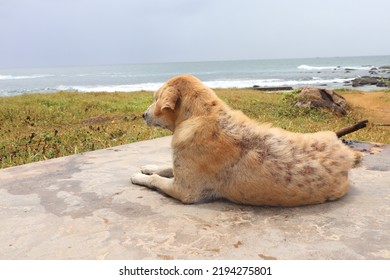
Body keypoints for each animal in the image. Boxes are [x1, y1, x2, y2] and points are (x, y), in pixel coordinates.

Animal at [130, 74, 360, 206]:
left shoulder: (184, 190)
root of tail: (347, 154)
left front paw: (139, 176)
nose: (142, 114)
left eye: (156, 99)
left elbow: (155, 180)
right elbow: (164, 167)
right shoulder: (181, 169)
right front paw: (148, 167)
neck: (201, 115)